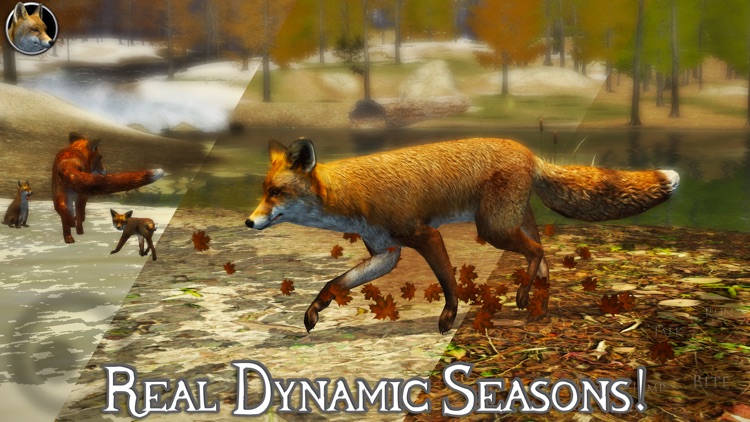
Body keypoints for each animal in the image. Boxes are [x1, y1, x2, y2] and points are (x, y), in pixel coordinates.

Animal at [246, 137, 679, 334]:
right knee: (543, 256)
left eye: (276, 193)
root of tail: (528, 152)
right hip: (509, 223)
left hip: (493, 229)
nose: (249, 222)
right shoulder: (387, 252)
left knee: (536, 252)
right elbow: (335, 283)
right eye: (263, 191)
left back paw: (524, 296)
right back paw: (538, 302)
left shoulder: (424, 235)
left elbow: (448, 281)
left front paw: (449, 317)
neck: (352, 195)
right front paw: (313, 311)